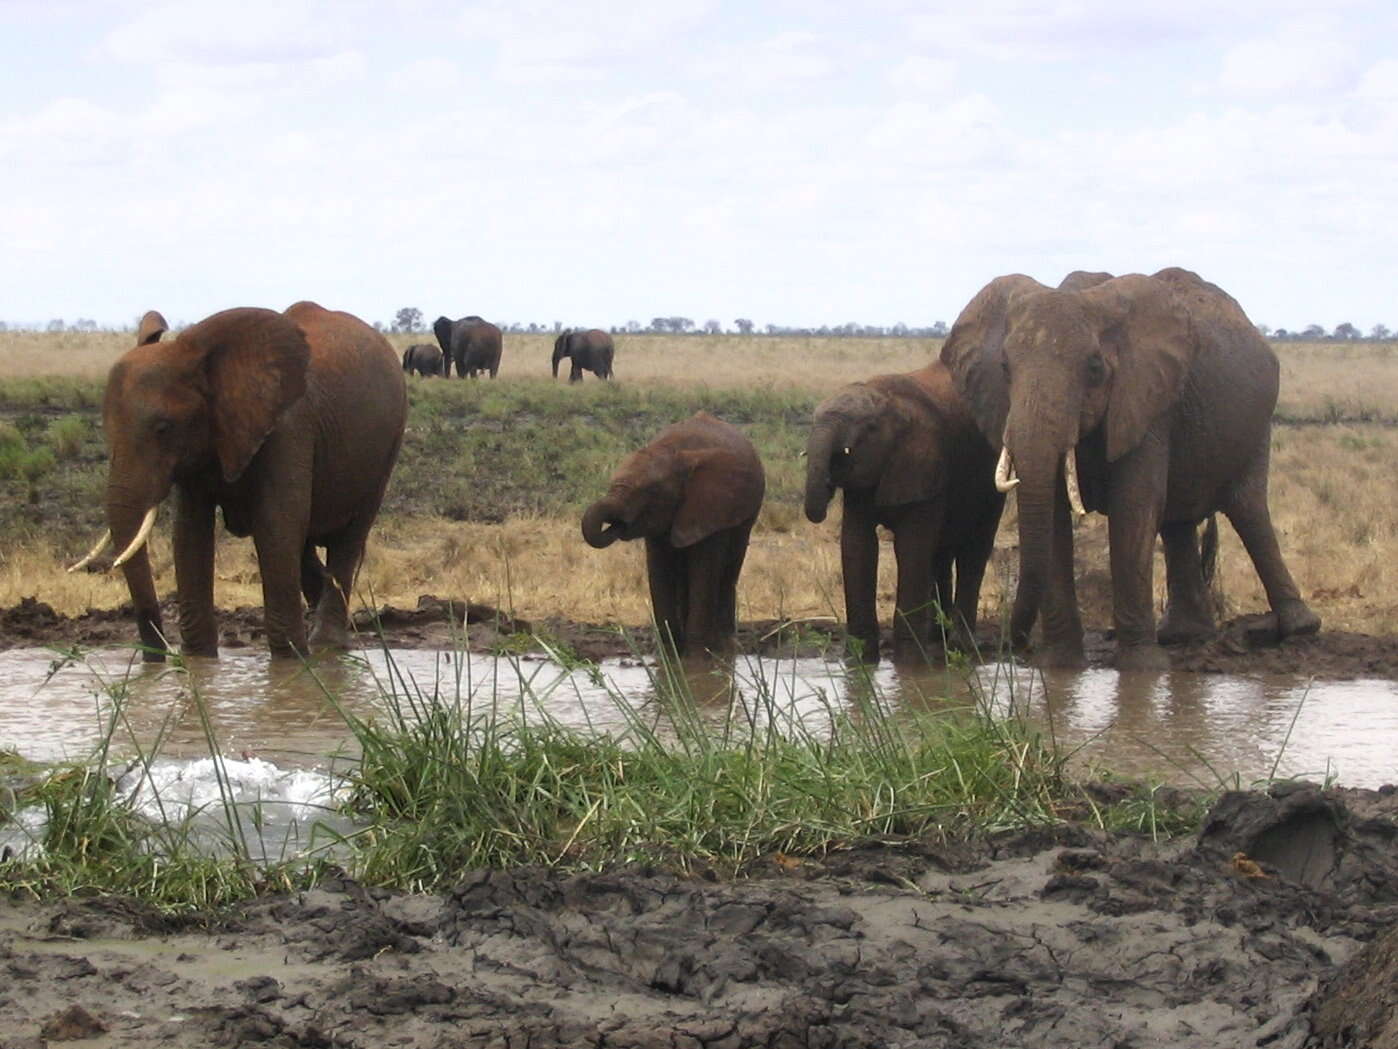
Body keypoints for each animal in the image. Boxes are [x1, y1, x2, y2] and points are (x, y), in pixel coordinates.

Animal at [73, 299, 408, 660]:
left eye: (163, 428)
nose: (158, 655)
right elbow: (190, 534)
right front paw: (198, 660)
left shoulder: (287, 430)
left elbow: (276, 526)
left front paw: (291, 661)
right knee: (306, 545)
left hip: (386, 448)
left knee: (349, 537)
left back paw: (326, 645)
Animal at [584, 411, 771, 657]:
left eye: (652, 491)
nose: (618, 523)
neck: (675, 452)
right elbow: (659, 568)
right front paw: (669, 651)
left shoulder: (713, 508)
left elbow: (704, 568)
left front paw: (697, 653)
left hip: (746, 514)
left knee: (730, 567)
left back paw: (725, 645)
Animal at [805, 363, 1012, 665]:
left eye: (869, 428)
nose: (829, 482)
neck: (887, 400)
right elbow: (858, 546)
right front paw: (859, 662)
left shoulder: (927, 464)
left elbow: (910, 548)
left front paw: (908, 663)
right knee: (940, 554)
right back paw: (937, 637)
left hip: (991, 482)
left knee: (973, 551)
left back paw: (960, 647)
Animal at [939, 267, 1319, 668]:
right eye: (1005, 368)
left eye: (1094, 368)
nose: (1015, 645)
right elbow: (1055, 515)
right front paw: (1061, 666)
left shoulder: (1147, 402)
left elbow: (1133, 507)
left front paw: (1143, 669)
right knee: (1178, 524)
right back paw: (1183, 635)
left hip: (1256, 425)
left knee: (1248, 511)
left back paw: (1298, 628)